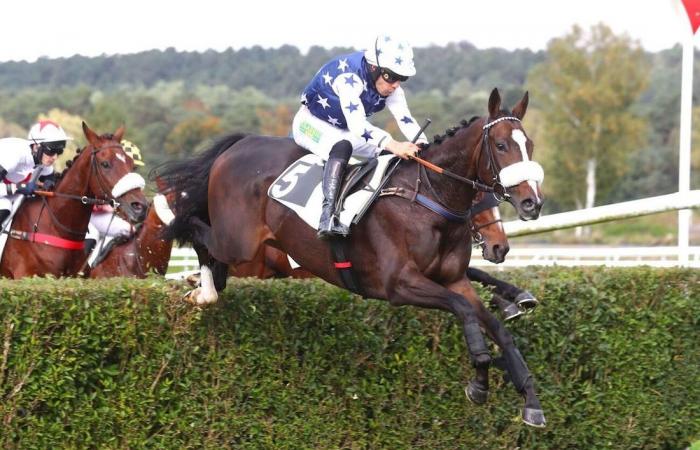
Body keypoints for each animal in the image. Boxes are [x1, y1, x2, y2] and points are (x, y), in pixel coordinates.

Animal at [159, 89, 548, 428]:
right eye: (501, 145)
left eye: (529, 145)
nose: (532, 203)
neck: (426, 199)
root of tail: (239, 144)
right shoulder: (399, 284)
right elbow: (465, 310)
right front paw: (480, 375)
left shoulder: (453, 279)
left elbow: (496, 326)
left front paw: (529, 398)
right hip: (236, 241)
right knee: (194, 227)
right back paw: (201, 285)